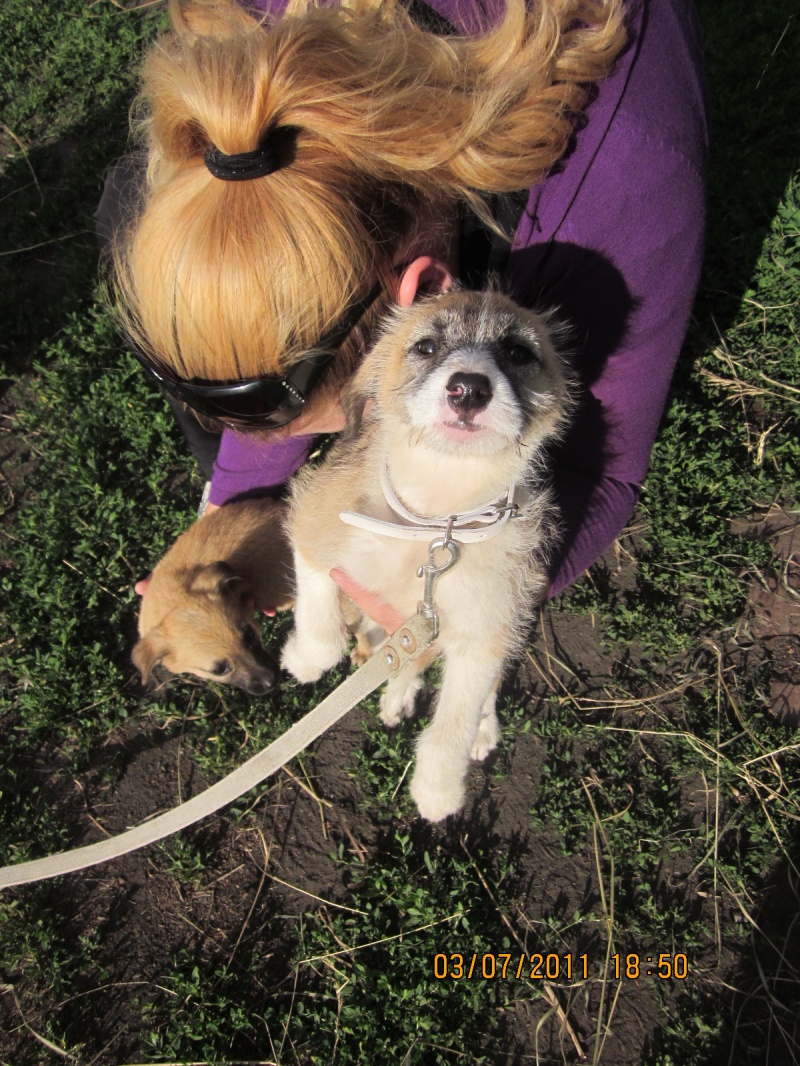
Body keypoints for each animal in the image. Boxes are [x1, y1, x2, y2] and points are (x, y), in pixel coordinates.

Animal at [281, 289, 572, 821]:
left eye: (518, 352)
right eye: (427, 346)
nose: (469, 389)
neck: (437, 522)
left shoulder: (484, 633)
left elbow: (453, 723)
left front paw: (437, 790)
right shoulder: (313, 527)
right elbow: (322, 631)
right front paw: (303, 660)